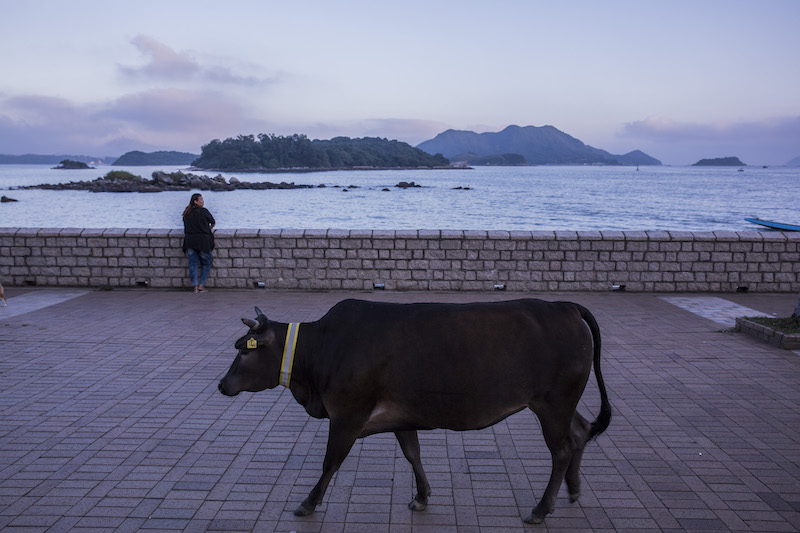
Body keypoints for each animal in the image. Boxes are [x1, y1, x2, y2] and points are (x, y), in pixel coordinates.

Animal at [218, 298, 611, 524]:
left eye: (245, 349)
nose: (222, 385)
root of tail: (565, 306)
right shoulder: (401, 415)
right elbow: (412, 453)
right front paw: (422, 497)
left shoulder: (347, 413)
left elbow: (331, 461)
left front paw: (308, 503)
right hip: (561, 402)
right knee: (580, 431)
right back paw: (574, 490)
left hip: (553, 401)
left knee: (562, 449)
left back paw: (541, 509)